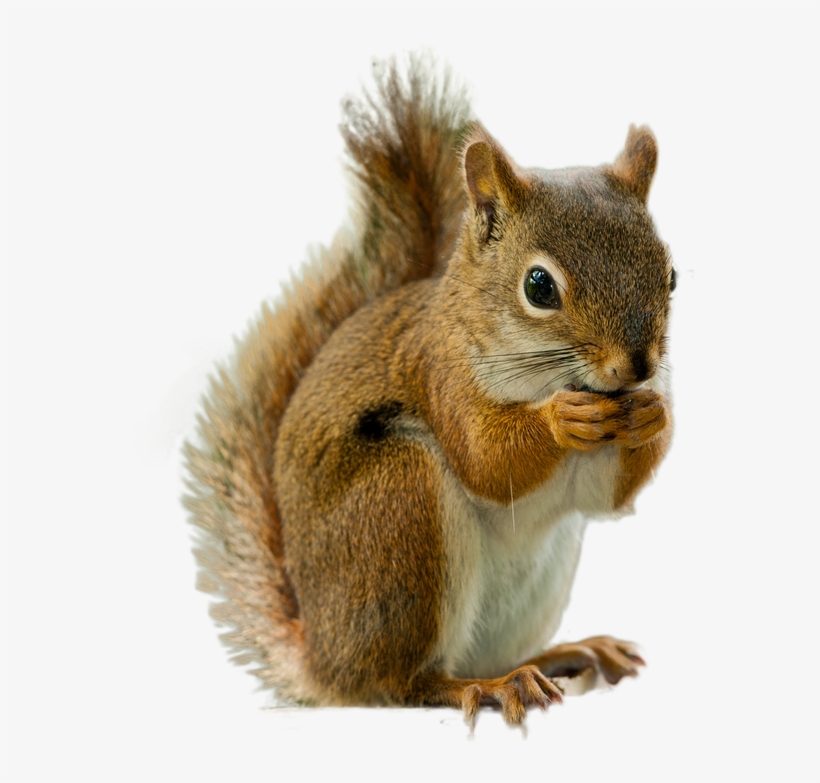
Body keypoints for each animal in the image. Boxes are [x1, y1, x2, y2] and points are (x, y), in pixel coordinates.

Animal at [184, 55, 674, 727]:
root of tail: (326, 661)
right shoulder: (441, 374)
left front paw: (655, 416)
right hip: (399, 509)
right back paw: (485, 687)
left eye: (671, 274)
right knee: (403, 685)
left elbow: (606, 496)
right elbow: (487, 459)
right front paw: (560, 420)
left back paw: (561, 656)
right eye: (539, 286)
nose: (639, 367)